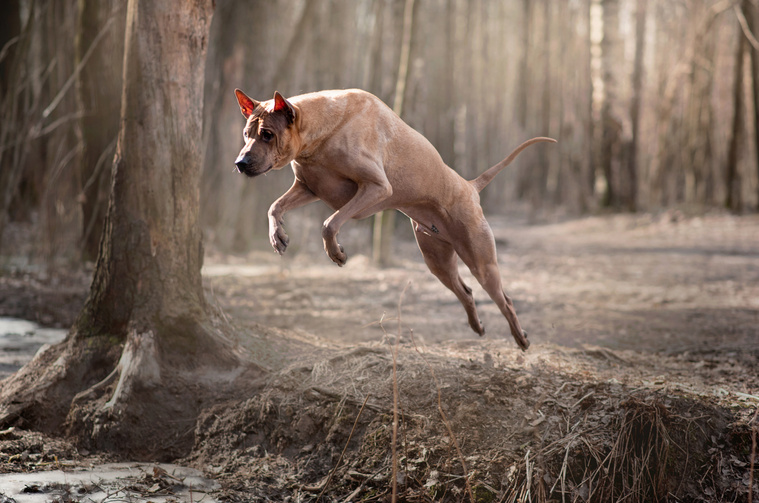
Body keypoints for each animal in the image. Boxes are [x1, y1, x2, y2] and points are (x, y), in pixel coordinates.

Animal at [235, 88, 556, 350]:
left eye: (268, 134)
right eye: (247, 134)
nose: (240, 163)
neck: (322, 134)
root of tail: (469, 186)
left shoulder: (376, 188)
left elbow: (329, 223)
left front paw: (336, 252)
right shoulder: (308, 188)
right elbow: (274, 207)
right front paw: (277, 236)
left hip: (481, 260)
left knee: (505, 299)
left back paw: (521, 338)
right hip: (436, 260)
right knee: (465, 291)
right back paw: (477, 326)